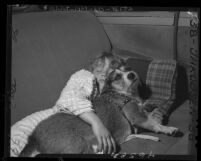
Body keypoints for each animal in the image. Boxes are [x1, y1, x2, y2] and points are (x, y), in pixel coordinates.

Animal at [19, 67, 180, 156]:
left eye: (127, 69)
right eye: (117, 77)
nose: (132, 74)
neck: (125, 94)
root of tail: (33, 136)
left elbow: (150, 112)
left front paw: (154, 109)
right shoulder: (137, 117)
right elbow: (153, 123)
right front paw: (168, 129)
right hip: (79, 147)